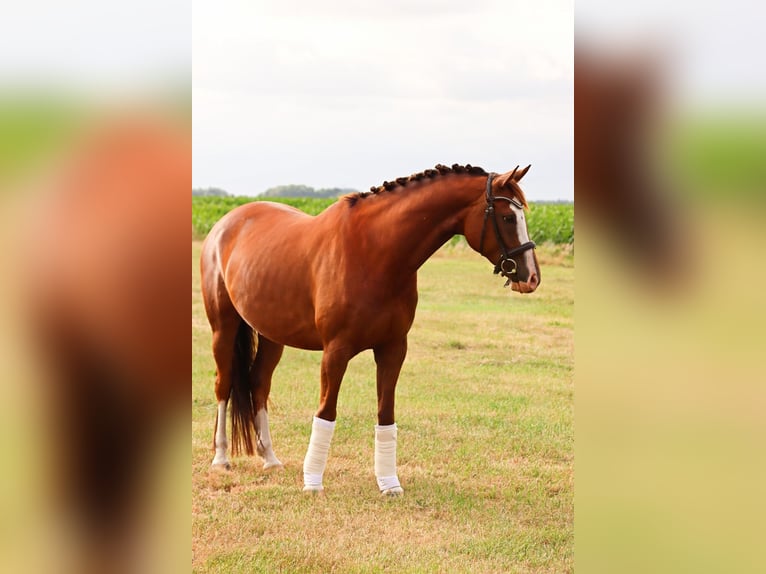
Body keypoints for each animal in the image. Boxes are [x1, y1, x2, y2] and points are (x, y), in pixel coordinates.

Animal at [200, 163, 540, 495]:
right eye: (508, 217)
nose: (531, 277)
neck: (375, 252)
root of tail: (226, 222)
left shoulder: (393, 348)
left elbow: (385, 414)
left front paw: (389, 483)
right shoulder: (335, 351)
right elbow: (326, 412)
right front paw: (313, 483)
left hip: (272, 336)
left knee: (258, 384)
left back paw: (270, 459)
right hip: (223, 328)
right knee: (223, 384)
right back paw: (221, 458)